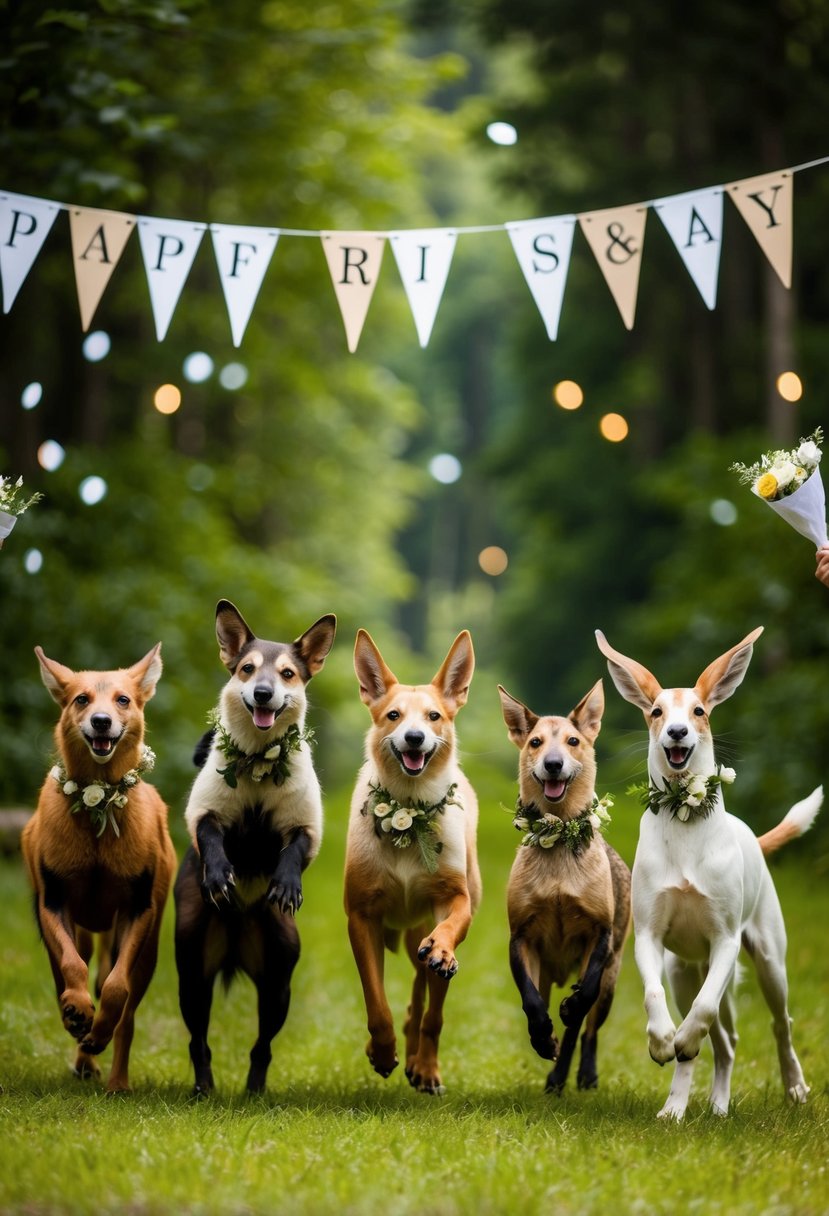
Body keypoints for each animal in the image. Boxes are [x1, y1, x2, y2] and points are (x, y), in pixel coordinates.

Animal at [21, 646, 175, 1094]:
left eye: (123, 699)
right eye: (81, 699)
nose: (101, 720)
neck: (98, 804)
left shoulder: (139, 906)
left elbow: (116, 989)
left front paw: (99, 1029)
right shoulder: (51, 899)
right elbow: (71, 968)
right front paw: (77, 1013)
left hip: (148, 945)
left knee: (127, 1009)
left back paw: (116, 1080)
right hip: (84, 930)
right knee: (77, 967)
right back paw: (83, 1047)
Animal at [173, 603, 335, 1099]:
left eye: (287, 673)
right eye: (247, 669)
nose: (264, 693)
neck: (260, 762)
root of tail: (235, 935)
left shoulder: (305, 823)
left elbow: (294, 848)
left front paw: (285, 884)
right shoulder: (204, 810)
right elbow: (210, 835)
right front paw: (219, 875)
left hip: (278, 979)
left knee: (262, 1046)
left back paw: (255, 1091)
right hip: (193, 973)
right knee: (198, 1042)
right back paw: (204, 1089)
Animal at [342, 632, 483, 1099]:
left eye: (434, 715)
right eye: (393, 715)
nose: (416, 737)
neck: (410, 810)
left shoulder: (454, 899)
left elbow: (450, 929)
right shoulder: (361, 917)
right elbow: (376, 1002)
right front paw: (383, 1052)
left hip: (424, 930)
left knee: (429, 1005)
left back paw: (425, 1066)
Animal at [498, 685, 627, 1094]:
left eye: (573, 741)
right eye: (535, 742)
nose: (553, 764)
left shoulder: (601, 932)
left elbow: (584, 995)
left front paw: (570, 1009)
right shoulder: (521, 935)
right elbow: (531, 1001)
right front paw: (542, 1038)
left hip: (613, 979)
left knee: (586, 1029)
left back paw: (581, 1075)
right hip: (546, 969)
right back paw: (555, 1072)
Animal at [593, 627, 821, 1118]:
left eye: (699, 711)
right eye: (656, 711)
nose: (677, 731)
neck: (684, 814)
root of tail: (751, 836)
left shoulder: (726, 940)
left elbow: (704, 1010)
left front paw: (680, 1039)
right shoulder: (649, 937)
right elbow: (655, 997)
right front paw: (662, 1040)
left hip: (770, 960)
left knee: (775, 1023)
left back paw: (793, 1087)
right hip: (682, 969)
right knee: (721, 1042)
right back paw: (686, 1106)